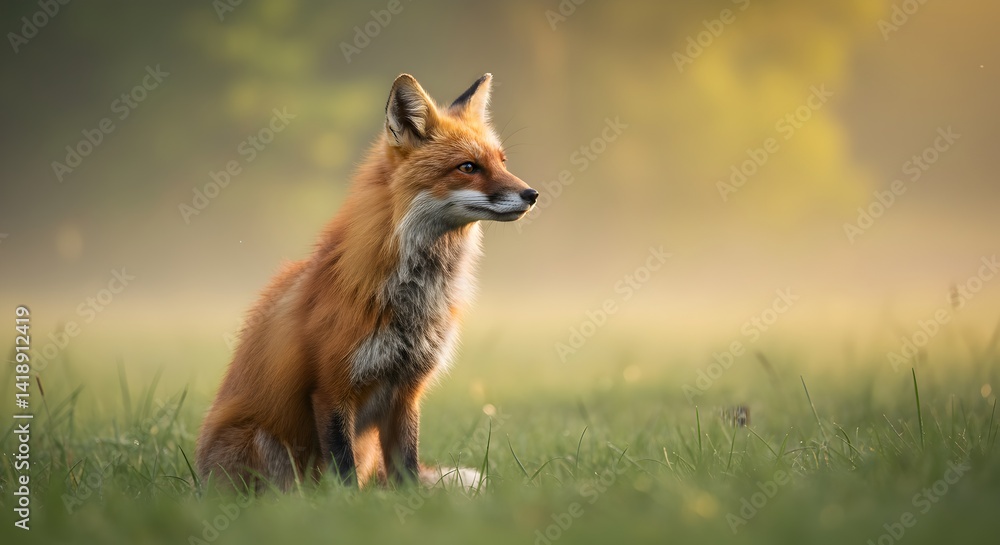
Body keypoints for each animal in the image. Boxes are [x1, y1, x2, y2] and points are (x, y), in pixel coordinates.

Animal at [195, 73, 537, 492]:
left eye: (502, 162)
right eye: (468, 166)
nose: (532, 194)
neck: (412, 296)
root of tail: (199, 478)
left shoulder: (407, 391)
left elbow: (408, 468)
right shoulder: (332, 388)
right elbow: (343, 473)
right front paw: (349, 506)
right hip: (262, 444)